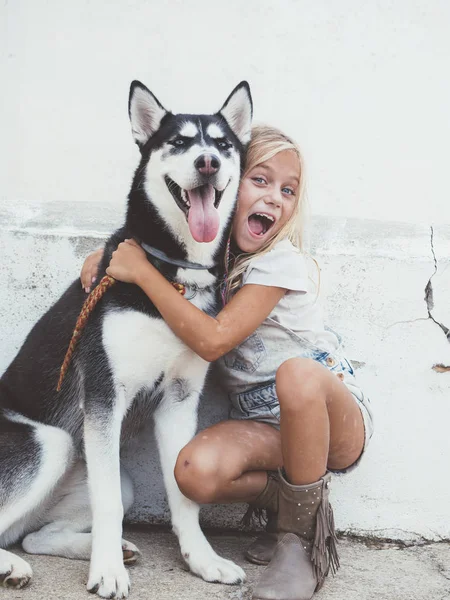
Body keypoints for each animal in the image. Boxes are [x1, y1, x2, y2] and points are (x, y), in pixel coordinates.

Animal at [0, 78, 253, 596]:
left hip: (105, 472)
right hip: (51, 443)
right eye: (179, 141)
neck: (173, 275)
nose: (208, 162)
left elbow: (183, 496)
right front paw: (107, 572)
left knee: (33, 536)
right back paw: (18, 564)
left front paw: (202, 559)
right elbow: (109, 505)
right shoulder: (103, 396)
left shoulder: (179, 400)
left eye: (222, 144)